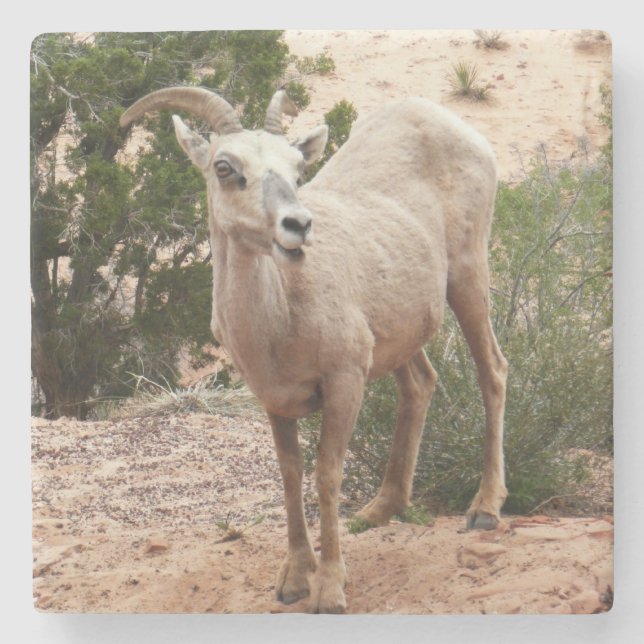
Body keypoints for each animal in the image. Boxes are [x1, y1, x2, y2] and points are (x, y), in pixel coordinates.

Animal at [119, 86, 508, 614]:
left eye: (297, 170)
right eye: (224, 167)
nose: (298, 225)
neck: (279, 318)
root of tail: (448, 121)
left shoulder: (344, 383)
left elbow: (327, 475)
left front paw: (329, 590)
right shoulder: (274, 399)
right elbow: (290, 476)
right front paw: (292, 582)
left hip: (468, 277)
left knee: (493, 372)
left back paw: (484, 510)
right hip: (401, 331)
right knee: (421, 384)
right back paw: (379, 511)